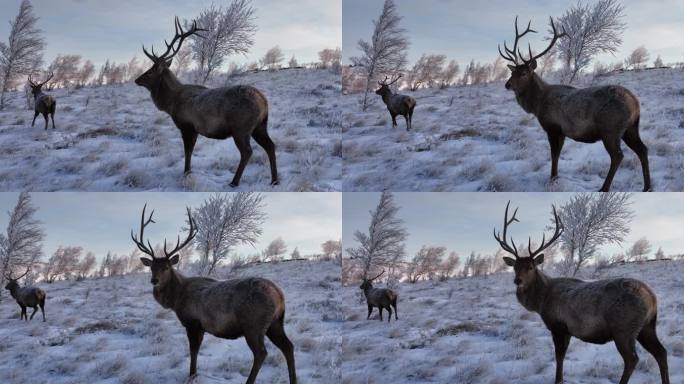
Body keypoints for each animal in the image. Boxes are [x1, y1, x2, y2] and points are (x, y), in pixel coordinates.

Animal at [132, 206, 296, 382]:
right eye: (152, 267)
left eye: (166, 267)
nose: (154, 280)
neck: (176, 300)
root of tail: (279, 295)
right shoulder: (201, 326)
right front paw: (194, 374)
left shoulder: (192, 321)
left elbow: (193, 351)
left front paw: (192, 375)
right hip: (276, 322)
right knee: (288, 346)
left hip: (253, 324)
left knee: (261, 353)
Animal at [136, 18, 278, 189]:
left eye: (150, 72)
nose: (136, 79)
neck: (171, 103)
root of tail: (264, 101)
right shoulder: (194, 129)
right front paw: (188, 172)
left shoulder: (187, 126)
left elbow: (188, 151)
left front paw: (186, 172)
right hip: (260, 125)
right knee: (271, 146)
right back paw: (274, 180)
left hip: (241, 127)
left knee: (247, 151)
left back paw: (234, 182)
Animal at [494, 201, 672, 384]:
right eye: (515, 267)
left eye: (530, 267)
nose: (518, 281)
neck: (541, 302)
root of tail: (652, 297)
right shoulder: (566, 329)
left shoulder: (558, 325)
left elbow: (559, 356)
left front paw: (558, 380)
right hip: (647, 325)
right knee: (661, 352)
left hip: (624, 327)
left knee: (632, 359)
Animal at [500, 16, 648, 192]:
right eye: (512, 72)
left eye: (523, 73)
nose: (507, 84)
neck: (537, 105)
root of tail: (635, 102)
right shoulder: (562, 131)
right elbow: (557, 154)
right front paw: (555, 177)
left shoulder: (553, 127)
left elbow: (554, 154)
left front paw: (553, 178)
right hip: (631, 128)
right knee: (643, 149)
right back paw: (647, 187)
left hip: (610, 129)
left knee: (618, 156)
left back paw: (604, 188)